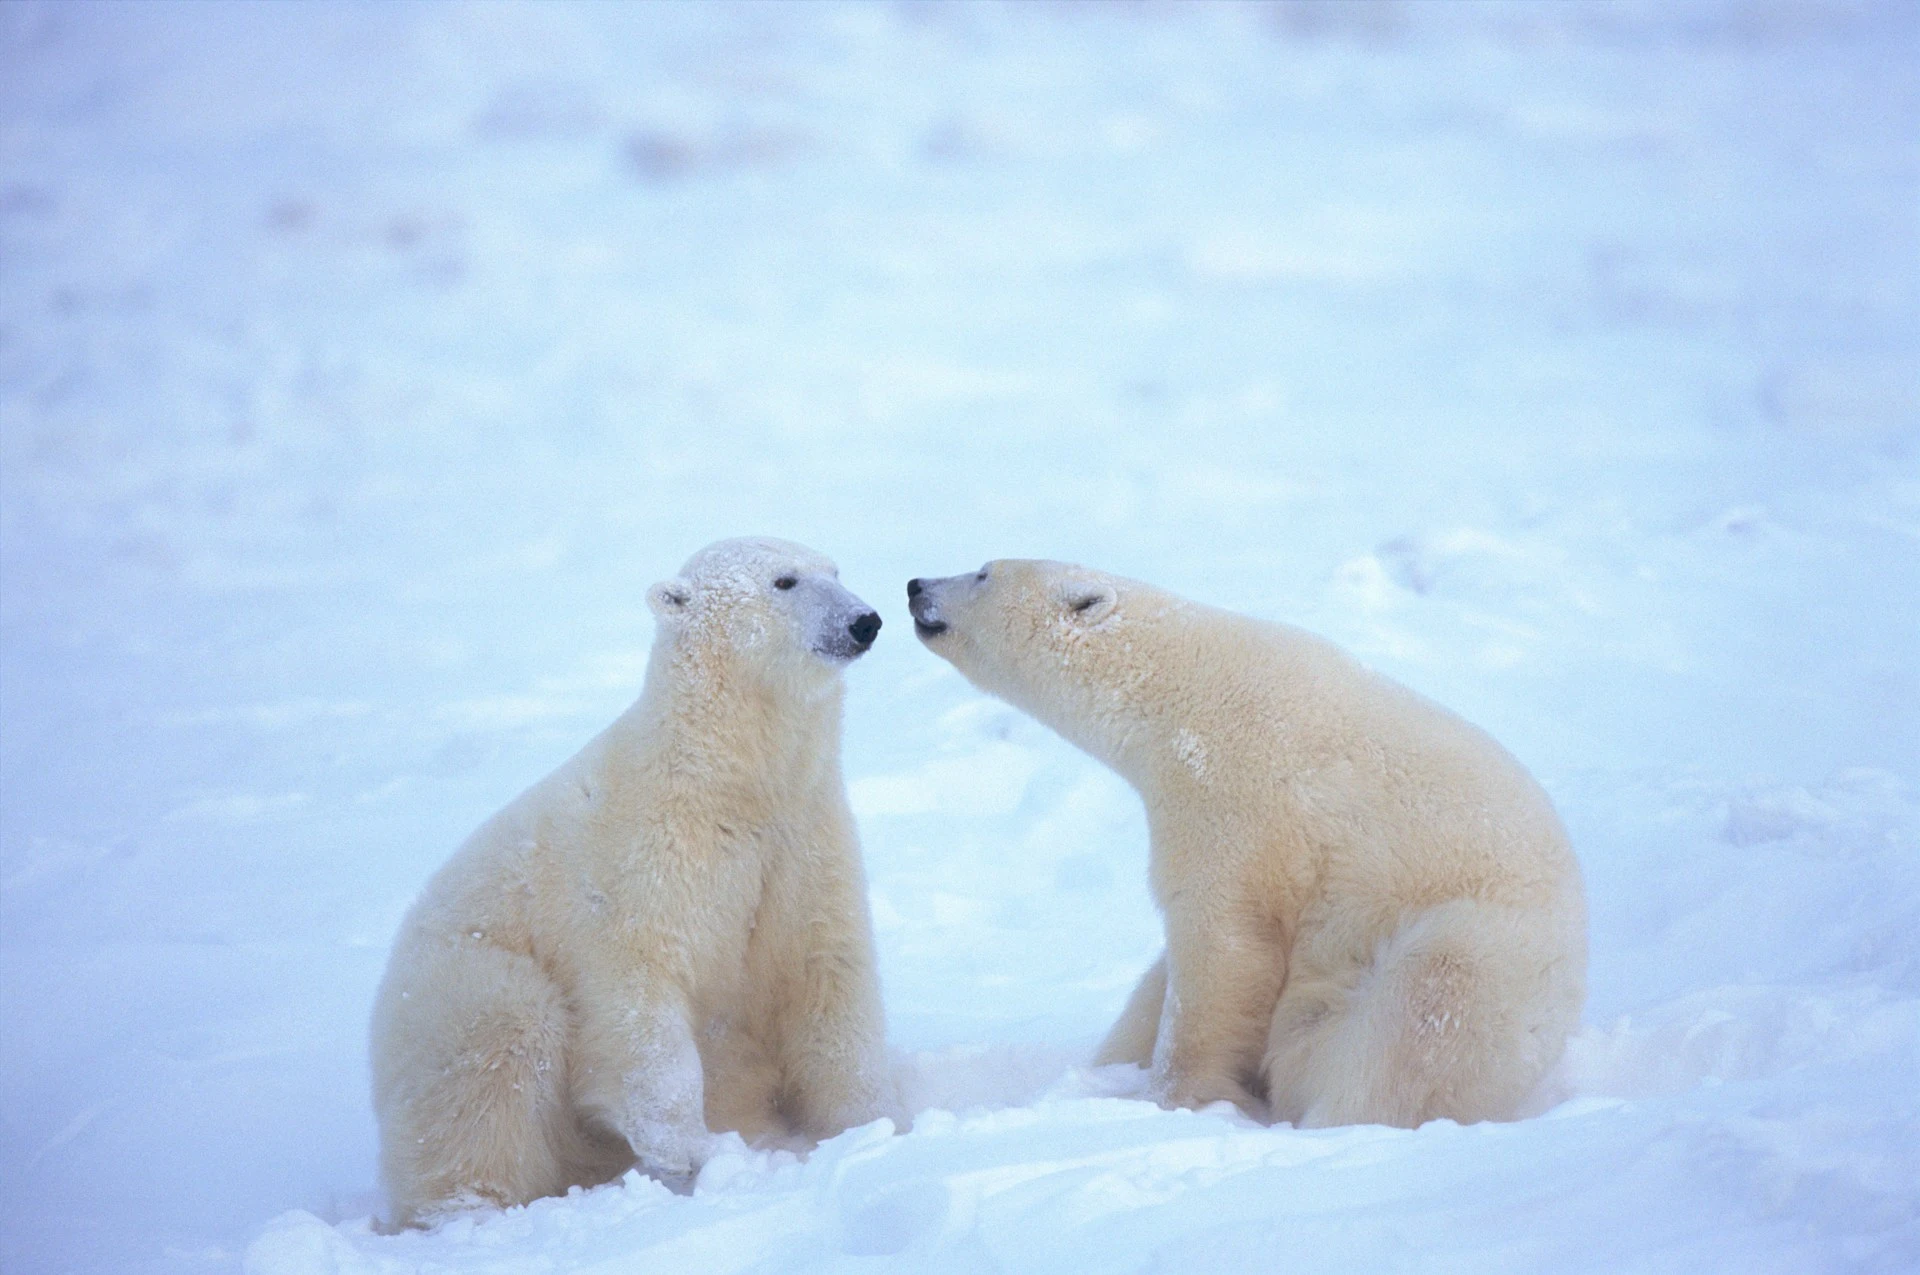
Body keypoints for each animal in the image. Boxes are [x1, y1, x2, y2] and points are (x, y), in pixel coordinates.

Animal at [370, 537, 894, 1228]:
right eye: (785, 581)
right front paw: (695, 1150)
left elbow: (825, 974)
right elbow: (640, 999)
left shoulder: (803, 843)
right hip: (449, 987)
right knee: (500, 1043)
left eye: (835, 570)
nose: (865, 621)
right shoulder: (642, 864)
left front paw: (867, 1129)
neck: (725, 783)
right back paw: (470, 1208)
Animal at [906, 556, 1582, 1129]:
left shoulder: (1234, 798)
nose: (916, 586)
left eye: (983, 572)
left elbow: (1222, 946)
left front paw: (1174, 1099)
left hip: (1485, 948)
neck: (1184, 686)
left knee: (1421, 1021)